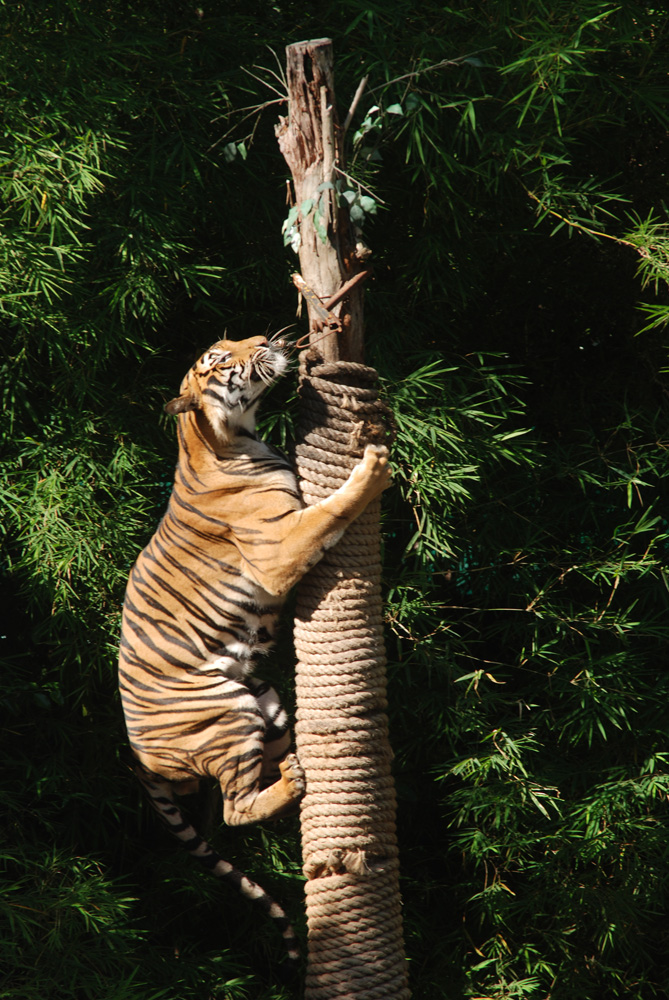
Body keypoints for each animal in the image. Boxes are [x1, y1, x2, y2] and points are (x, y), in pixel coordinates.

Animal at [118, 332, 392, 964]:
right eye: (222, 360)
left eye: (227, 343)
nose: (266, 340)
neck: (227, 438)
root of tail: (139, 760)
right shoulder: (282, 545)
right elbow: (333, 508)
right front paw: (373, 465)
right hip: (225, 713)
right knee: (233, 809)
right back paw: (290, 783)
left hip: (265, 698)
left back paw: (296, 768)